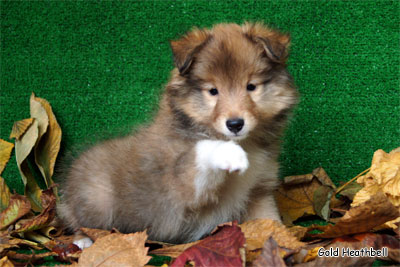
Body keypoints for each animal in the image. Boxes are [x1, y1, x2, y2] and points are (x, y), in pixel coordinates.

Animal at [57, 22, 298, 248]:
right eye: (213, 91)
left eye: (251, 86)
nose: (235, 124)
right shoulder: (183, 188)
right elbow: (202, 151)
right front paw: (231, 153)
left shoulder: (259, 191)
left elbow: (270, 221)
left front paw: (285, 245)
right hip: (97, 198)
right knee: (80, 220)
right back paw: (83, 240)